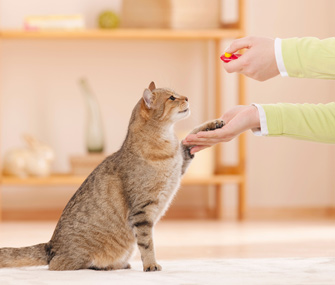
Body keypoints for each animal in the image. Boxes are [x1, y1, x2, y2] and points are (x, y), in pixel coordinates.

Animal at [0, 80, 226, 270]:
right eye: (171, 98)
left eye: (177, 94)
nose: (187, 97)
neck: (166, 140)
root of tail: (50, 244)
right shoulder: (141, 211)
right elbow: (147, 244)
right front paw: (151, 265)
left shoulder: (181, 163)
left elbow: (190, 137)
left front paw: (213, 124)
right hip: (80, 256)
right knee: (61, 266)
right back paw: (106, 266)